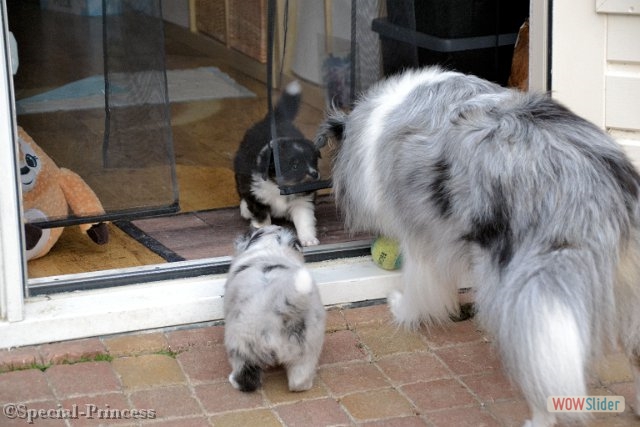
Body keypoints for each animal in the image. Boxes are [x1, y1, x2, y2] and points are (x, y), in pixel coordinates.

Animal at [224, 226, 324, 392]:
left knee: (247, 376)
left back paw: (234, 381)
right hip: (307, 348)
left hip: (242, 345)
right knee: (299, 380)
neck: (270, 246)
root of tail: (281, 308)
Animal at [235, 81, 322, 246]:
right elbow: (262, 215)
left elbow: (304, 219)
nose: (315, 175)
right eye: (294, 166)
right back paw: (244, 209)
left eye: (313, 162)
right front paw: (262, 231)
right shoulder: (257, 194)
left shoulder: (302, 200)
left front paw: (308, 240)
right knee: (242, 191)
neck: (279, 187)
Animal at [316, 65, 640, 426]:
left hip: (527, 279)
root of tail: (590, 185)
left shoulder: (421, 233)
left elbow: (419, 283)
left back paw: (541, 416)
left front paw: (403, 308)